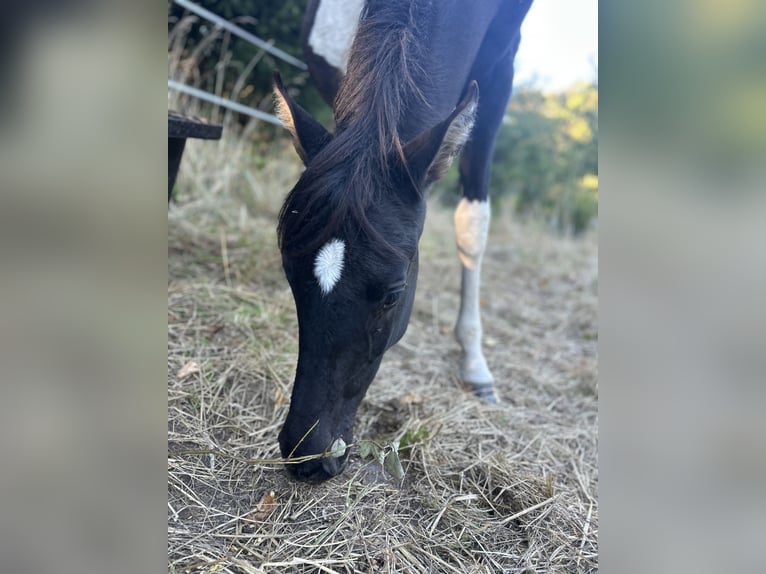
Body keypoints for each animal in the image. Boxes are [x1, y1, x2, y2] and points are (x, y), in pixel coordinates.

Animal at [273, 0, 534, 481]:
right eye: (289, 274)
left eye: (393, 294)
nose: (308, 456)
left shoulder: (502, 62)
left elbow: (472, 223)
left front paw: (475, 364)